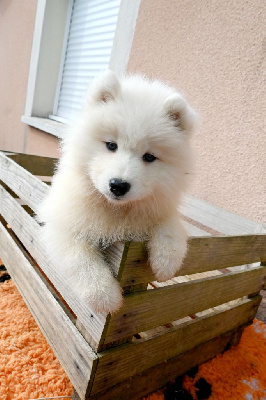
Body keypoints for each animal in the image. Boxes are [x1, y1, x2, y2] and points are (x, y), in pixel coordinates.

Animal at [39, 72, 197, 316]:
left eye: (149, 157)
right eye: (111, 145)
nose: (118, 185)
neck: (116, 210)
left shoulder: (160, 207)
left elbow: (171, 227)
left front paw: (165, 262)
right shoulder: (62, 226)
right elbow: (81, 260)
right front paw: (106, 297)